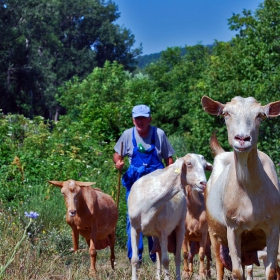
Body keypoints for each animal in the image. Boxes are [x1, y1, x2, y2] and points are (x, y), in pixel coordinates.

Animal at [202, 95, 280, 278]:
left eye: (260, 115)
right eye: (226, 113)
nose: (242, 139)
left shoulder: (273, 228)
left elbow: (271, 271)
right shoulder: (233, 228)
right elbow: (237, 272)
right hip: (213, 233)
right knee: (220, 265)